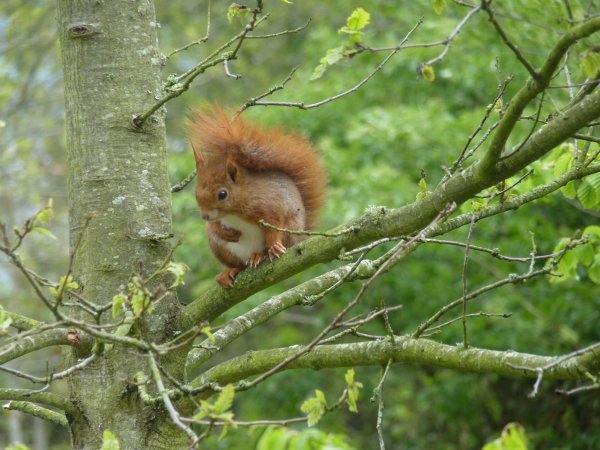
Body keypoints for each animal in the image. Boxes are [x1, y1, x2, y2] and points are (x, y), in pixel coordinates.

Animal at [190, 107, 326, 286]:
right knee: (239, 265)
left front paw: (274, 246)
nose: (204, 216)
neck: (234, 211)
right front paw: (224, 231)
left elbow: (274, 223)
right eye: (196, 192)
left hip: (290, 231)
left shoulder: (269, 206)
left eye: (222, 194)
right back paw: (229, 272)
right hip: (219, 247)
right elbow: (214, 226)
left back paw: (261, 255)